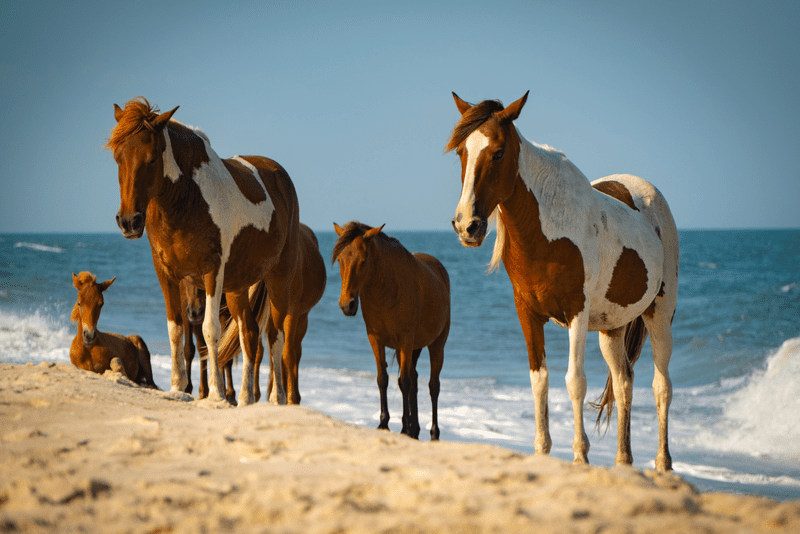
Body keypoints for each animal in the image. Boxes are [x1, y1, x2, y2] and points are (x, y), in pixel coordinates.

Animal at [106, 97, 304, 406]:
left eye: (152, 159)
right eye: (117, 158)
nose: (129, 222)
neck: (187, 200)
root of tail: (280, 175)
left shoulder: (212, 272)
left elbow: (211, 330)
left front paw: (217, 394)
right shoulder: (166, 274)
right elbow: (175, 328)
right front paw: (177, 387)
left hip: (278, 278)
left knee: (275, 335)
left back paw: (276, 398)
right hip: (237, 286)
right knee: (249, 334)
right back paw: (245, 399)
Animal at [332, 222, 450, 440]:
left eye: (363, 260)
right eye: (340, 259)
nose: (347, 305)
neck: (385, 291)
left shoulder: (405, 341)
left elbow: (404, 382)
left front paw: (403, 428)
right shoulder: (375, 339)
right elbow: (383, 379)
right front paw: (384, 423)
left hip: (436, 345)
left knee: (433, 386)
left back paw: (433, 433)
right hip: (415, 348)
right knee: (415, 380)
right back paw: (415, 429)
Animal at [446, 92, 680, 474]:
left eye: (498, 152)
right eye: (461, 152)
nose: (468, 225)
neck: (548, 231)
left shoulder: (576, 314)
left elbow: (575, 382)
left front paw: (580, 454)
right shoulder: (527, 314)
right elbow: (539, 379)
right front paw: (542, 450)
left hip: (659, 314)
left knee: (661, 386)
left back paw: (662, 462)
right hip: (612, 328)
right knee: (624, 382)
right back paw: (623, 460)